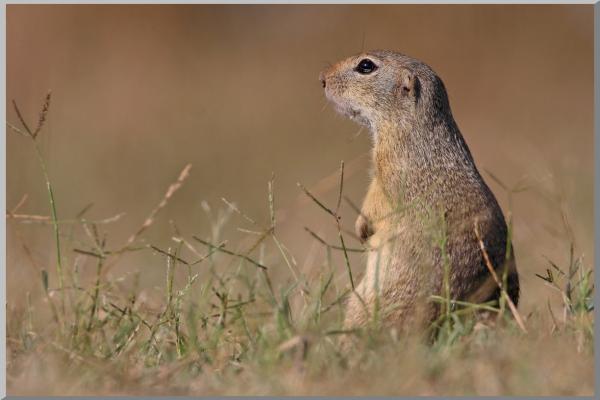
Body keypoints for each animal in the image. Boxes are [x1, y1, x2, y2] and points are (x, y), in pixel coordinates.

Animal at [318, 50, 520, 338]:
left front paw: (361, 229)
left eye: (366, 66)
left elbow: (376, 201)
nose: (322, 79)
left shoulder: (390, 170)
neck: (412, 127)